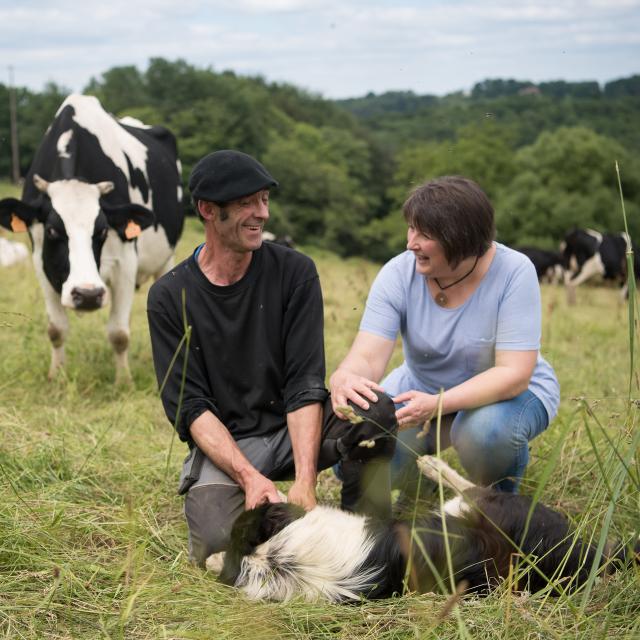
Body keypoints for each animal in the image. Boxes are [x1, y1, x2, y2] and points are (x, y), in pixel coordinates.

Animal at [0, 94, 185, 382]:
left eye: (102, 231)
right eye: (52, 230)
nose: (87, 295)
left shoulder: (126, 263)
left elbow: (119, 334)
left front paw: (124, 381)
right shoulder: (41, 261)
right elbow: (56, 329)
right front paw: (57, 375)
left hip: (167, 259)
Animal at [206, 456, 636, 600]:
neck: (281, 559)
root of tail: (580, 550)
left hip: (479, 506)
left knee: (470, 485)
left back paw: (429, 462)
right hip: (484, 509)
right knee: (469, 486)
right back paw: (430, 463)